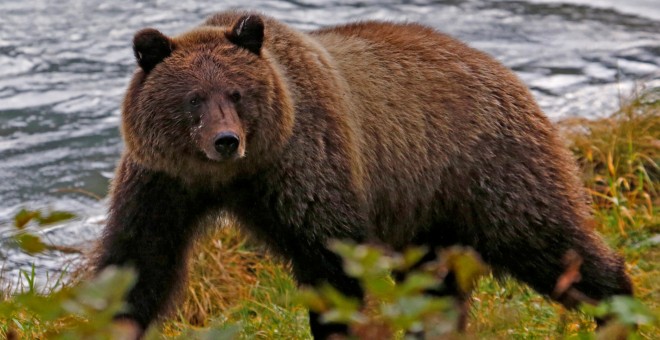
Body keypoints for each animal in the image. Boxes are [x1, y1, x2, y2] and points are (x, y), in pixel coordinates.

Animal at [94, 9, 636, 338]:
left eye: (236, 93)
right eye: (193, 99)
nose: (226, 140)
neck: (233, 176)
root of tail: (503, 71)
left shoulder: (308, 163)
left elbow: (333, 262)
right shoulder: (162, 180)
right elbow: (139, 262)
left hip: (489, 168)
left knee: (549, 243)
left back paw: (620, 308)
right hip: (430, 210)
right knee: (435, 288)